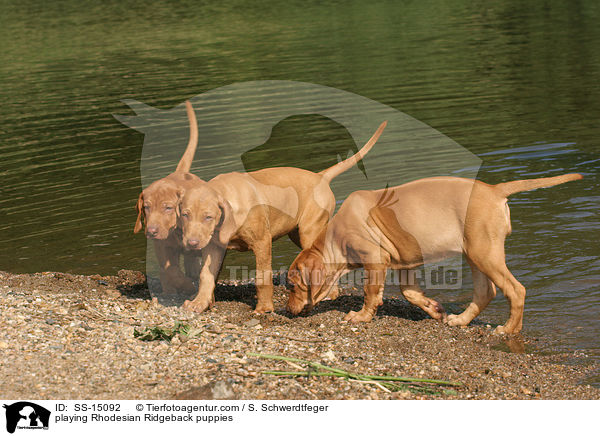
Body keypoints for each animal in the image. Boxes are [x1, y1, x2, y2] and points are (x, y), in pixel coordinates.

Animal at [134, 100, 206, 296]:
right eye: (146, 207)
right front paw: (185, 286)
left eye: (168, 208)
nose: (151, 231)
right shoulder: (163, 247)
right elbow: (171, 270)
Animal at [178, 121, 390, 316]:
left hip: (309, 231)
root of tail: (320, 177)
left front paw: (264, 308)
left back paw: (329, 295)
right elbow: (206, 275)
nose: (192, 243)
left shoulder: (262, 242)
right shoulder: (213, 246)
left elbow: (262, 277)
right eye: (185, 214)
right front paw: (200, 302)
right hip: (297, 233)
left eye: (208, 217)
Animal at [288, 172, 584, 332]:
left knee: (516, 290)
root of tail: (494, 190)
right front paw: (434, 309)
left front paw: (361, 316)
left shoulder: (375, 259)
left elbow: (371, 293)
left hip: (485, 252)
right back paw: (460, 320)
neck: (335, 238)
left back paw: (509, 329)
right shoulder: (404, 264)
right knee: (485, 291)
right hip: (475, 252)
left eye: (291, 285)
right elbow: (410, 293)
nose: (287, 310)